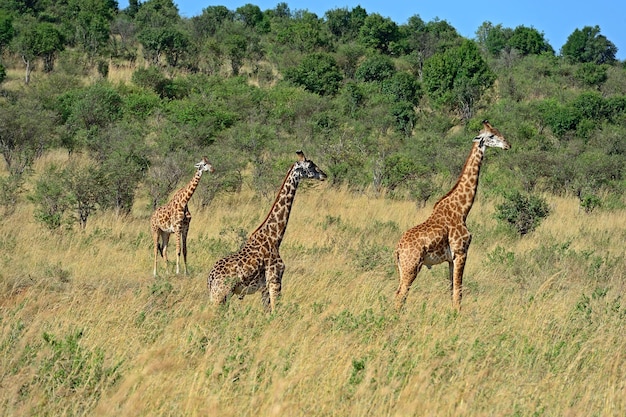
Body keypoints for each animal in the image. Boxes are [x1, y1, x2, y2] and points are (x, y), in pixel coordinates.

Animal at [208, 151, 326, 310]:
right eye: (310, 166)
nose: (324, 175)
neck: (275, 237)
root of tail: (210, 278)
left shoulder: (264, 287)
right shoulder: (275, 281)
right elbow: (276, 310)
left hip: (219, 296)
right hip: (221, 296)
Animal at [392, 119, 510, 308]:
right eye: (492, 135)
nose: (507, 145)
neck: (462, 210)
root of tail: (398, 248)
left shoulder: (450, 259)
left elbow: (451, 291)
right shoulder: (461, 252)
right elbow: (458, 293)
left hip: (402, 268)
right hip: (412, 266)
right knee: (400, 295)